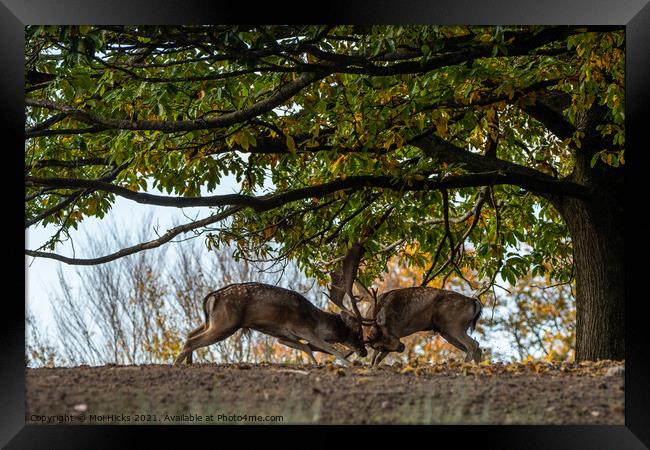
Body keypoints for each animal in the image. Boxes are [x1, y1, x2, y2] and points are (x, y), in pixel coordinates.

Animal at [172, 284, 364, 368]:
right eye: (358, 332)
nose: (364, 352)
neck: (316, 321)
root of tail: (213, 296)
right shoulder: (302, 328)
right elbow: (329, 347)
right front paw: (349, 363)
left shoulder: (283, 337)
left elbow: (306, 348)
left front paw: (315, 363)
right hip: (226, 323)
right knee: (193, 340)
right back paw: (176, 365)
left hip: (211, 322)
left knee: (189, 334)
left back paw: (188, 363)